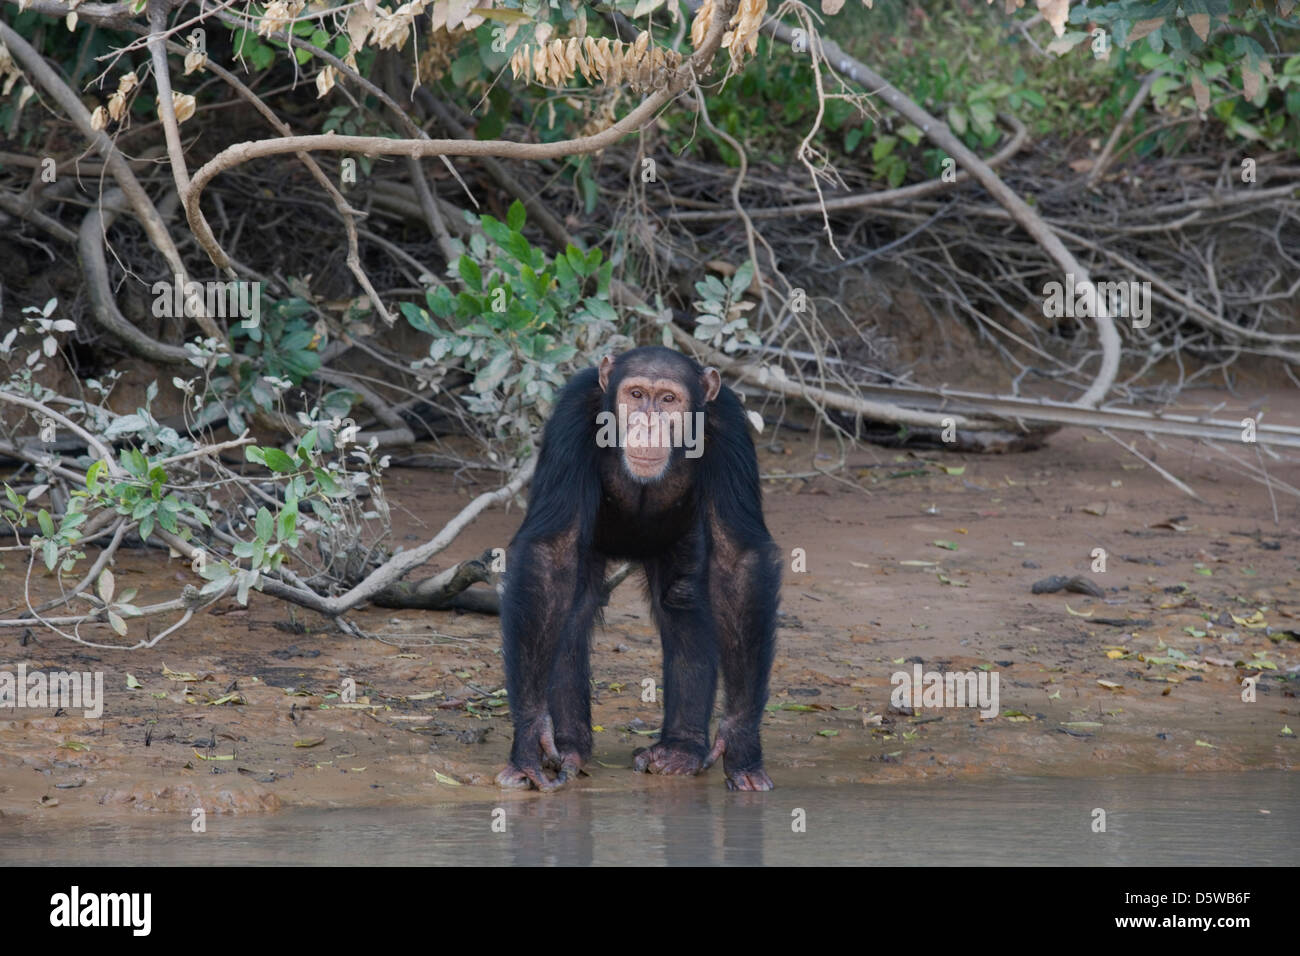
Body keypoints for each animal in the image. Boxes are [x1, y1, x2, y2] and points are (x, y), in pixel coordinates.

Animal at [493, 345, 780, 790]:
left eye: (669, 399)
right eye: (636, 394)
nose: (648, 421)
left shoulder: (729, 429)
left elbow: (738, 561)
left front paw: (740, 744)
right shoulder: (572, 415)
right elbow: (550, 554)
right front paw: (529, 738)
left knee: (683, 604)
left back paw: (679, 750)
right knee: (572, 608)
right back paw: (569, 747)